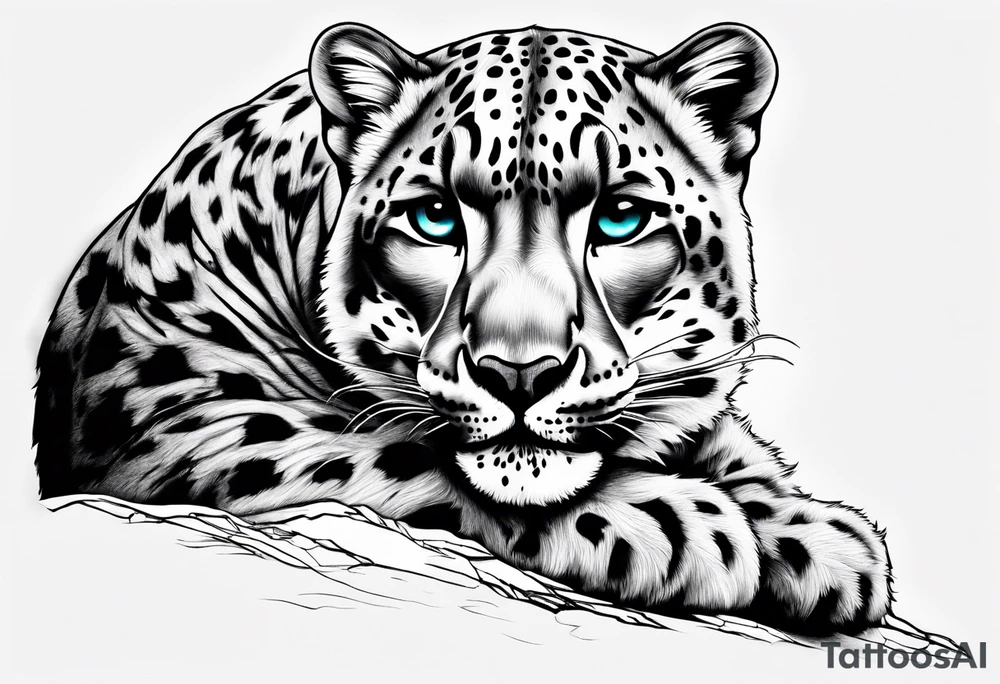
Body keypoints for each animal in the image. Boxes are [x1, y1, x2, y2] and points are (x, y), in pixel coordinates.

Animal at [33, 22, 893, 635]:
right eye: (435, 216)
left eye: (620, 217)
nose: (519, 372)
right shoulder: (173, 418)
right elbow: (385, 449)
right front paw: (682, 524)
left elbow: (719, 436)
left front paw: (816, 535)